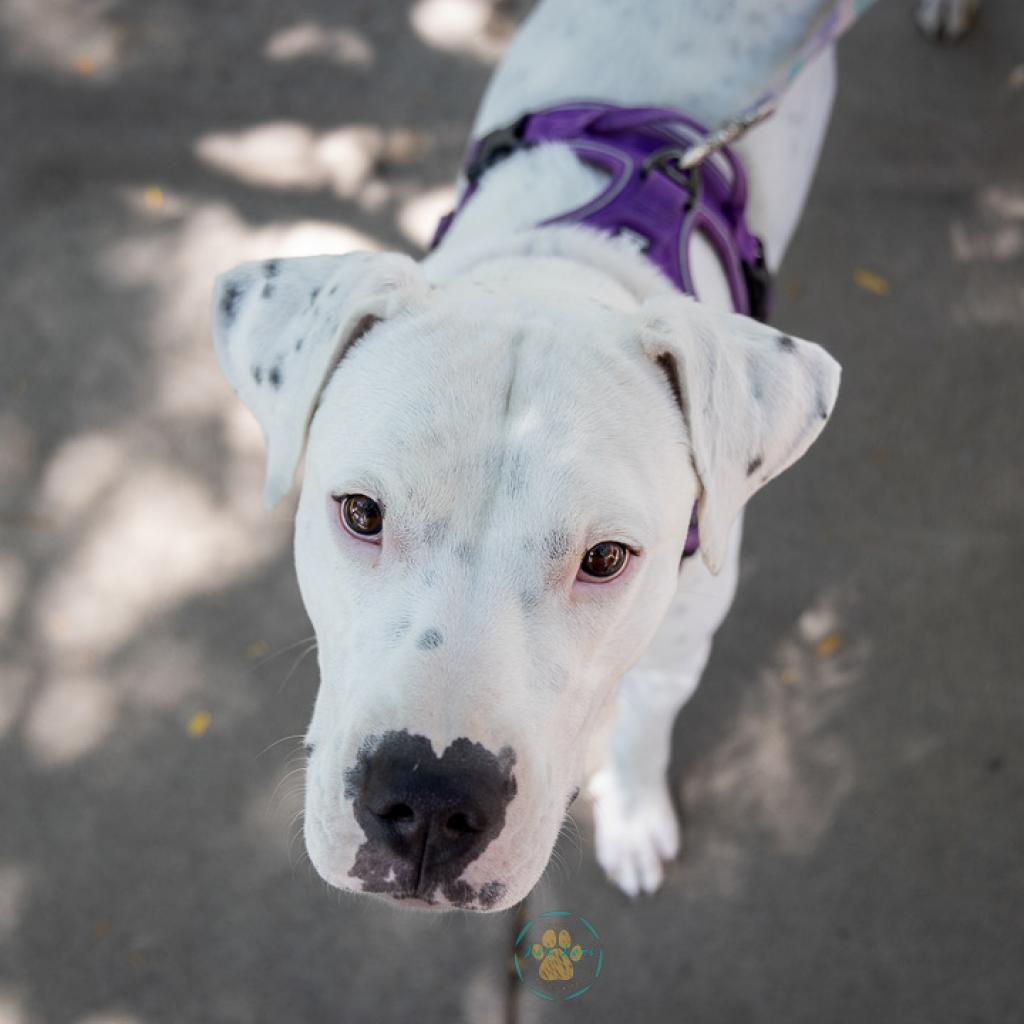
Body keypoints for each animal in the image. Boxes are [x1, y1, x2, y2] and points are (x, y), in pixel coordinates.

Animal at [209, 0, 856, 913]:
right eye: (362, 514)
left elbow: (644, 729)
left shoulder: (677, 649)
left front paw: (634, 819)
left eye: (606, 558)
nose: (430, 801)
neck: (556, 270)